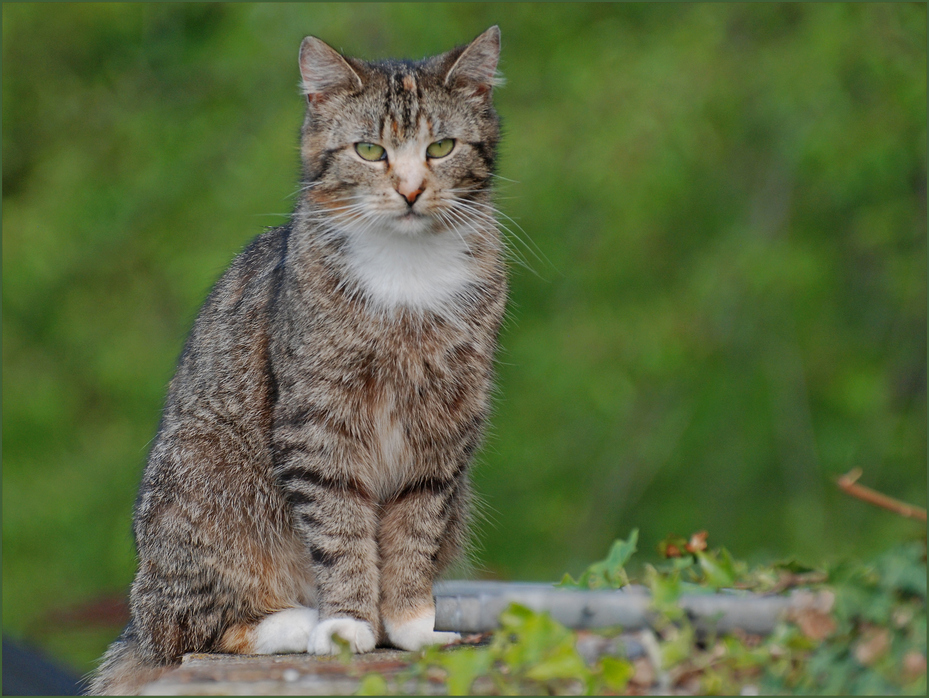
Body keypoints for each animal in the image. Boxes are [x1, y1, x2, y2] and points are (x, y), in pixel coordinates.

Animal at [85, 24, 508, 692]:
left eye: (441, 148)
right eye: (369, 150)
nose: (411, 190)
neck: (407, 271)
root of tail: (138, 614)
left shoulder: (445, 431)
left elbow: (414, 530)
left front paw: (411, 628)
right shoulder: (318, 421)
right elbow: (340, 528)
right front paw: (349, 625)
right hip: (206, 488)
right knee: (189, 631)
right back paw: (301, 622)